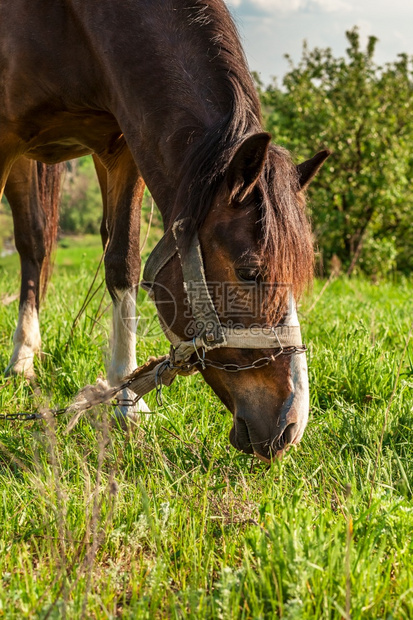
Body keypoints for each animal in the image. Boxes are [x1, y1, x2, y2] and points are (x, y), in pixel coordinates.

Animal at [0, 0, 328, 462]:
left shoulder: (122, 147)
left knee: (34, 244)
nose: (290, 426)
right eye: (250, 272)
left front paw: (126, 403)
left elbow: (123, 262)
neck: (77, 22)